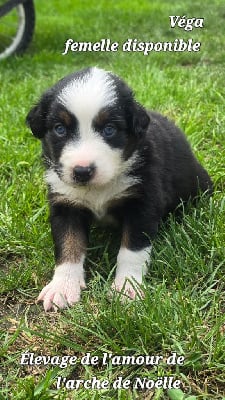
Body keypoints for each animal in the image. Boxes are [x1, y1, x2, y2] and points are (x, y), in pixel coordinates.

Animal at [26, 65, 213, 310]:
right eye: (59, 129)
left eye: (109, 129)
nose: (82, 171)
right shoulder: (65, 203)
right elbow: (68, 244)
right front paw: (63, 287)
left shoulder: (142, 201)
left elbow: (131, 251)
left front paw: (127, 287)